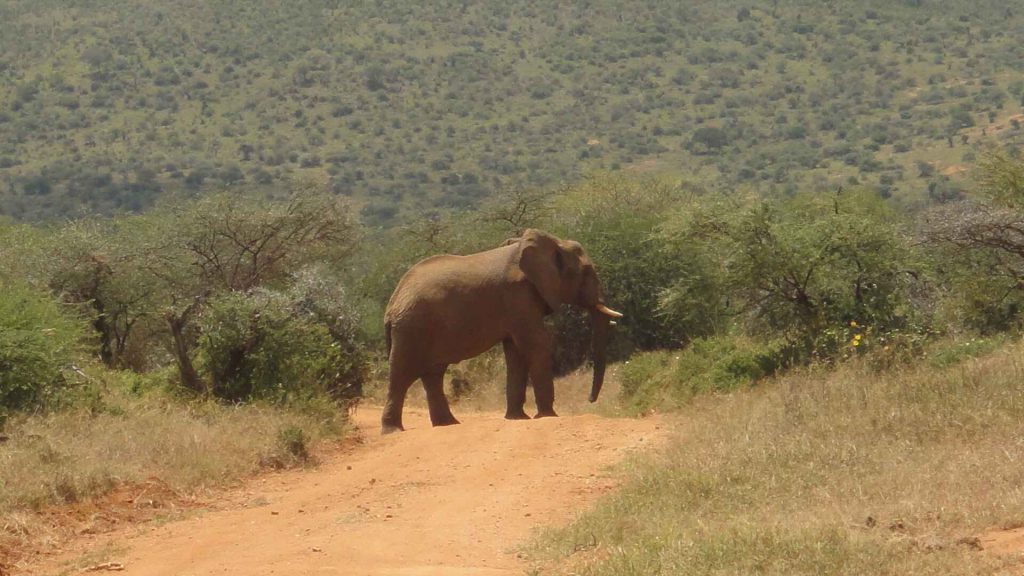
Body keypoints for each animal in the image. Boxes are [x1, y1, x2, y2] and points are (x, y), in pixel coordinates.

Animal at [380, 228, 622, 434]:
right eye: (586, 272)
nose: (590, 400)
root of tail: (391, 304)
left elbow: (515, 352)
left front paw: (517, 418)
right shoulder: (519, 296)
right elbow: (536, 343)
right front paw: (548, 416)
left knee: (433, 375)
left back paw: (448, 424)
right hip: (411, 328)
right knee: (401, 375)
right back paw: (393, 431)